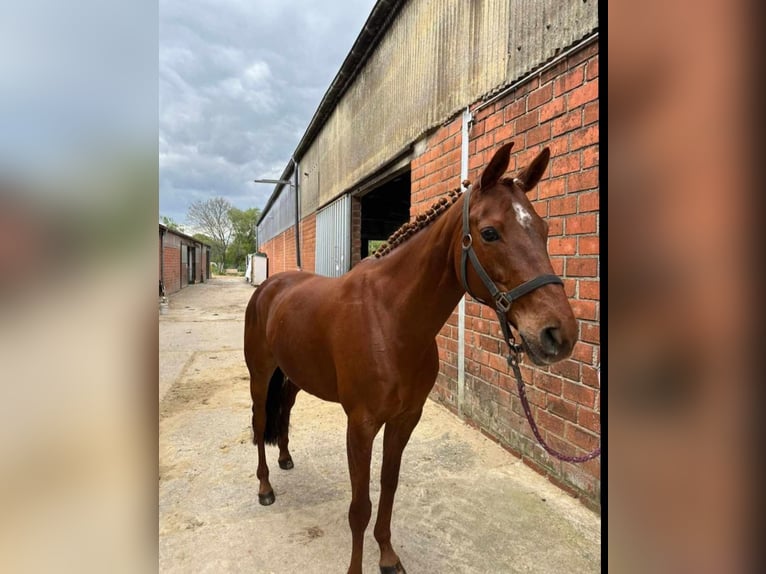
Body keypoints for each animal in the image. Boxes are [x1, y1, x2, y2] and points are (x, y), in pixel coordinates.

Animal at [244, 143, 576, 574]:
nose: (559, 334)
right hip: (260, 373)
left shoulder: (405, 419)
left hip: (294, 375)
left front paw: (387, 556)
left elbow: (388, 486)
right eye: (490, 233)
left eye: (545, 230)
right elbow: (360, 506)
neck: (389, 319)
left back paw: (285, 458)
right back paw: (265, 487)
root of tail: (270, 286)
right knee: (260, 419)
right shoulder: (361, 425)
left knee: (283, 409)